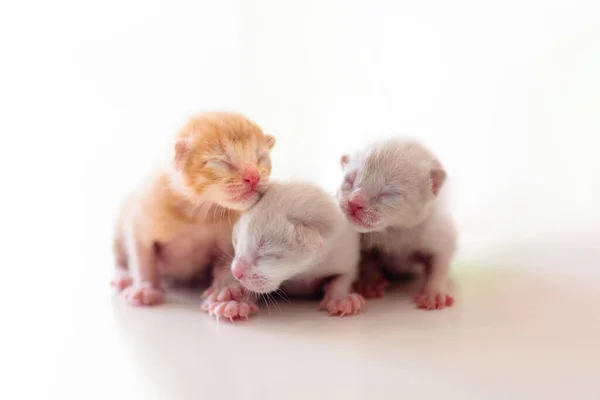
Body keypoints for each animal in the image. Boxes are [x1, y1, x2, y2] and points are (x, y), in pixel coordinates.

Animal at [112, 111, 276, 312]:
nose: (254, 176)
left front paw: (227, 293)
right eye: (221, 162)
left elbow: (229, 263)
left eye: (260, 158)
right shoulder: (141, 217)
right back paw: (122, 276)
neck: (198, 212)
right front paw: (144, 288)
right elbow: (142, 257)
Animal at [338, 139, 454, 310]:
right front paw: (370, 283)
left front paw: (433, 293)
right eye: (349, 181)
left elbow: (440, 260)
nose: (354, 202)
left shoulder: (438, 229)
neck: (396, 229)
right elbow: (367, 259)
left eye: (388, 193)